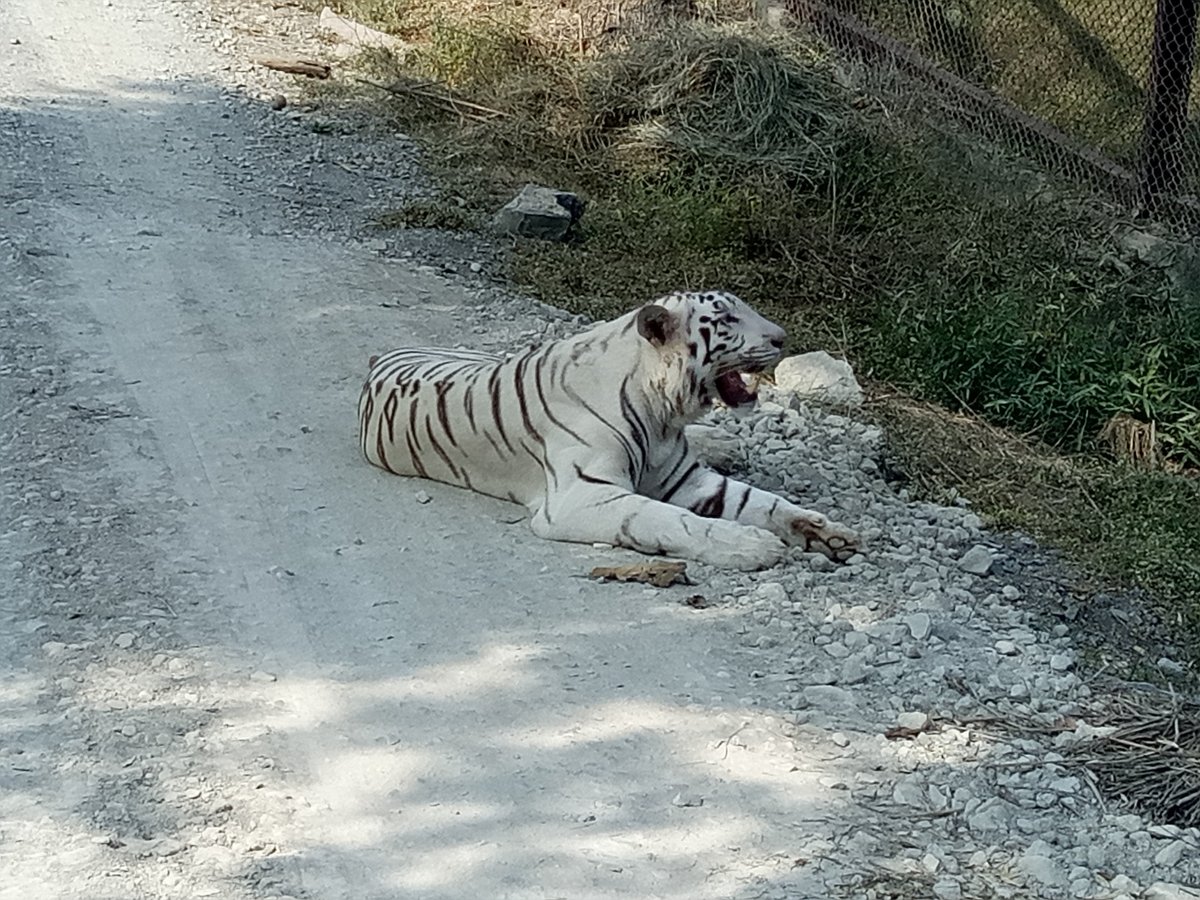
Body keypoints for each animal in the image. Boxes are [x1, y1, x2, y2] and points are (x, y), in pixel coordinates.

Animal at [357, 289, 864, 571]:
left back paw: (725, 441)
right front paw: (751, 546)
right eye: (726, 320)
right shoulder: (582, 495)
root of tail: (386, 353)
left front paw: (831, 534)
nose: (783, 338)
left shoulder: (688, 478)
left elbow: (764, 503)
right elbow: (669, 520)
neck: (663, 414)